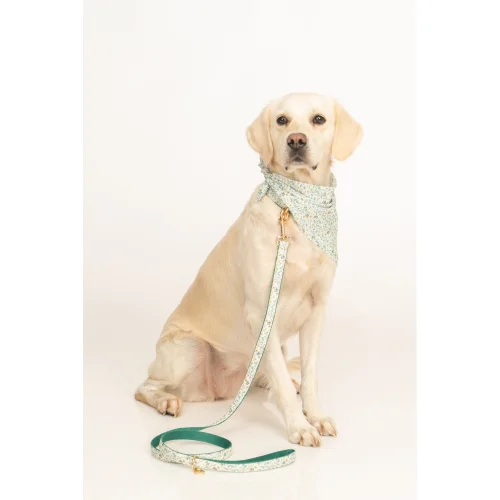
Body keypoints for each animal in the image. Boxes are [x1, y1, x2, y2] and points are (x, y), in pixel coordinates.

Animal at [135, 93, 362, 447]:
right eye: (282, 120)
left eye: (319, 119)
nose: (296, 140)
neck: (297, 210)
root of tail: (217, 391)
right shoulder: (261, 313)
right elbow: (283, 381)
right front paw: (299, 427)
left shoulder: (316, 310)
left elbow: (309, 374)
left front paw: (315, 416)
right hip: (189, 349)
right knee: (145, 385)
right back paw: (166, 401)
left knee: (270, 376)